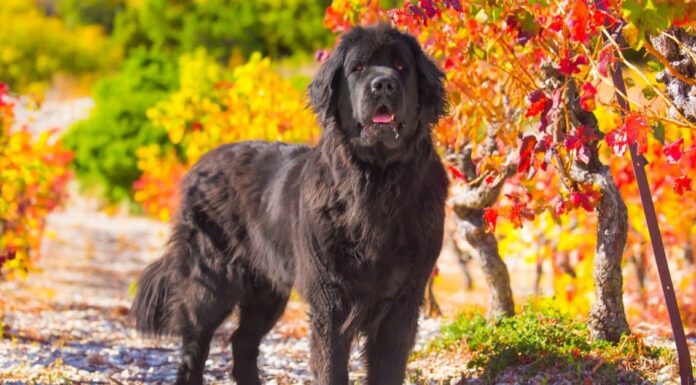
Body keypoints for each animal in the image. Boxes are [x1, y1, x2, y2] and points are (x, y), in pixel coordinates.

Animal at [131, 24, 448, 384]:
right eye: (358, 67)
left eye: (401, 67)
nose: (383, 83)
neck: (375, 184)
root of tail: (202, 162)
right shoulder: (330, 297)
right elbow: (331, 366)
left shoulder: (403, 298)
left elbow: (388, 366)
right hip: (210, 278)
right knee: (195, 343)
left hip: (266, 288)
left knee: (242, 340)